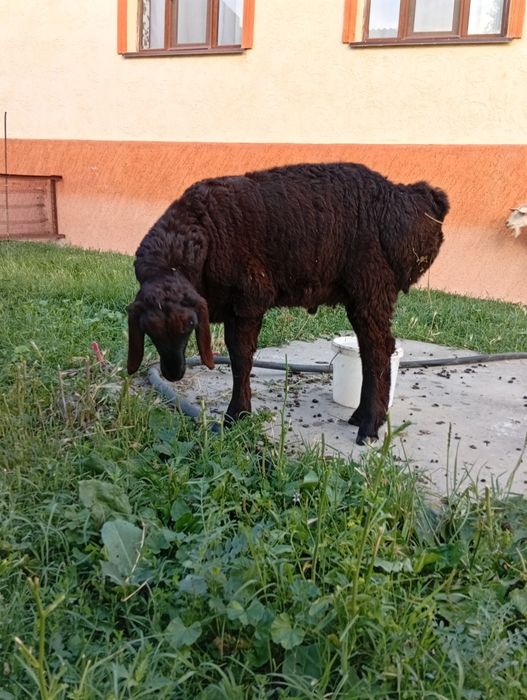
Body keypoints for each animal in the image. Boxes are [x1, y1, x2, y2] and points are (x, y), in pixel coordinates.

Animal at [127, 162, 449, 444]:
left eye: (190, 326)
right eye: (148, 331)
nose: (173, 374)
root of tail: (408, 198)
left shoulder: (249, 299)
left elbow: (240, 358)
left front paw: (236, 416)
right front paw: (238, 415)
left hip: (371, 285)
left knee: (379, 350)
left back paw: (369, 425)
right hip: (363, 294)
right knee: (372, 348)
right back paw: (362, 416)